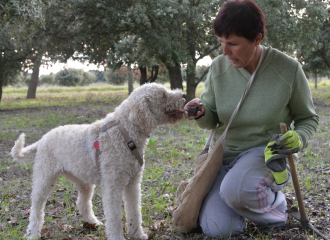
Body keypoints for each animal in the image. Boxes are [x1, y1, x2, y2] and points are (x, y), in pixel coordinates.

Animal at [11, 83, 187, 240]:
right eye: (162, 95)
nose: (184, 95)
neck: (124, 131)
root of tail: (42, 140)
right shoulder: (113, 186)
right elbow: (115, 217)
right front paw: (117, 237)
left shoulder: (133, 184)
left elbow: (135, 211)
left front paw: (137, 234)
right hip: (45, 177)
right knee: (36, 208)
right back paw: (32, 233)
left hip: (83, 180)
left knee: (82, 203)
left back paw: (93, 223)